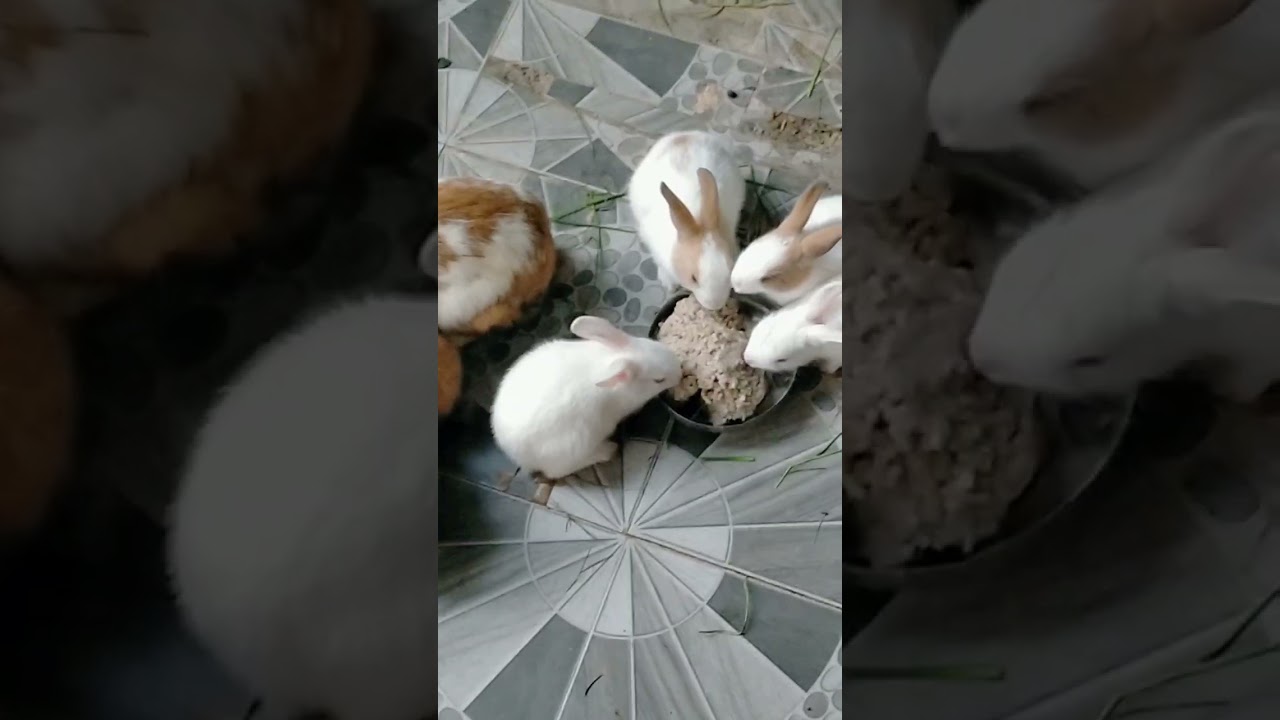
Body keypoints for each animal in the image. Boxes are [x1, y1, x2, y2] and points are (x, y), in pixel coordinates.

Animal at [490, 315, 682, 481]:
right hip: (575, 445)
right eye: (659, 380)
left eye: (655, 344)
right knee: (557, 472)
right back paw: (608, 450)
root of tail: (515, 454)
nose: (680, 373)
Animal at [628, 130, 746, 310]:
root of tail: (684, 135)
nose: (714, 305)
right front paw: (670, 286)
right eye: (693, 278)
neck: (697, 218)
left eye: (729, 270)